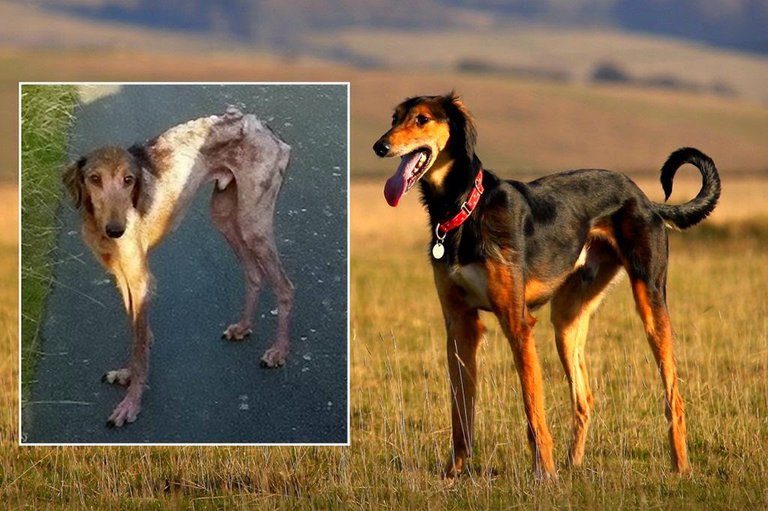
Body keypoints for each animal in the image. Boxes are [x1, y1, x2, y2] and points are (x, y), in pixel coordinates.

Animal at [63, 107, 294, 428]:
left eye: (129, 179)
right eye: (94, 179)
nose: (116, 230)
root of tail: (263, 125)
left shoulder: (140, 279)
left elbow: (140, 346)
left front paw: (131, 404)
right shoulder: (123, 277)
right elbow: (137, 335)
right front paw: (127, 375)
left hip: (253, 224)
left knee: (285, 286)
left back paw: (279, 352)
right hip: (224, 216)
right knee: (254, 273)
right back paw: (243, 327)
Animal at [372, 93, 720, 480]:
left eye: (421, 119)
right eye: (394, 118)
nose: (380, 146)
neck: (463, 208)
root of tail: (644, 198)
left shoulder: (517, 322)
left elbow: (532, 405)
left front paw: (544, 473)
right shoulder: (460, 324)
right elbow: (460, 411)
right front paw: (453, 473)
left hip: (651, 302)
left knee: (674, 397)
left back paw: (681, 467)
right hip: (566, 321)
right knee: (584, 398)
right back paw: (574, 465)